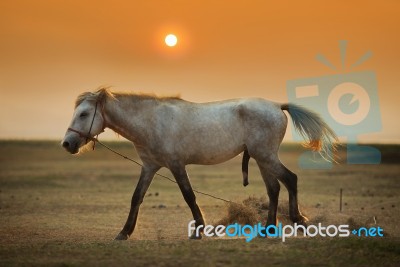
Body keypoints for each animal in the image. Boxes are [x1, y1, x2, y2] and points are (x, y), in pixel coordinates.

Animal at [61, 88, 338, 241]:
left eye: (84, 114)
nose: (67, 143)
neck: (151, 121)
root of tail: (276, 106)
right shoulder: (150, 167)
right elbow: (136, 197)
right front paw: (124, 232)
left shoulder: (176, 165)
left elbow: (189, 196)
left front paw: (199, 230)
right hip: (262, 159)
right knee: (274, 189)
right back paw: (268, 229)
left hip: (266, 156)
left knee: (290, 180)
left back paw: (297, 220)